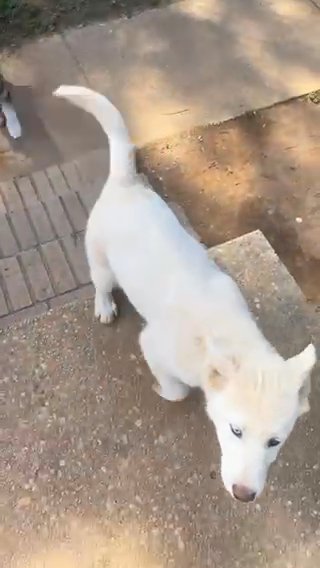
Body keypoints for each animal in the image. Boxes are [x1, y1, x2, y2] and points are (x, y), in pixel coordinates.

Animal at [53, 84, 316, 502]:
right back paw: (104, 305)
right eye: (235, 430)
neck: (228, 337)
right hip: (100, 262)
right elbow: (176, 391)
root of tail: (126, 182)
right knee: (101, 283)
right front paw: (163, 389)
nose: (244, 495)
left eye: (274, 442)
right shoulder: (152, 345)